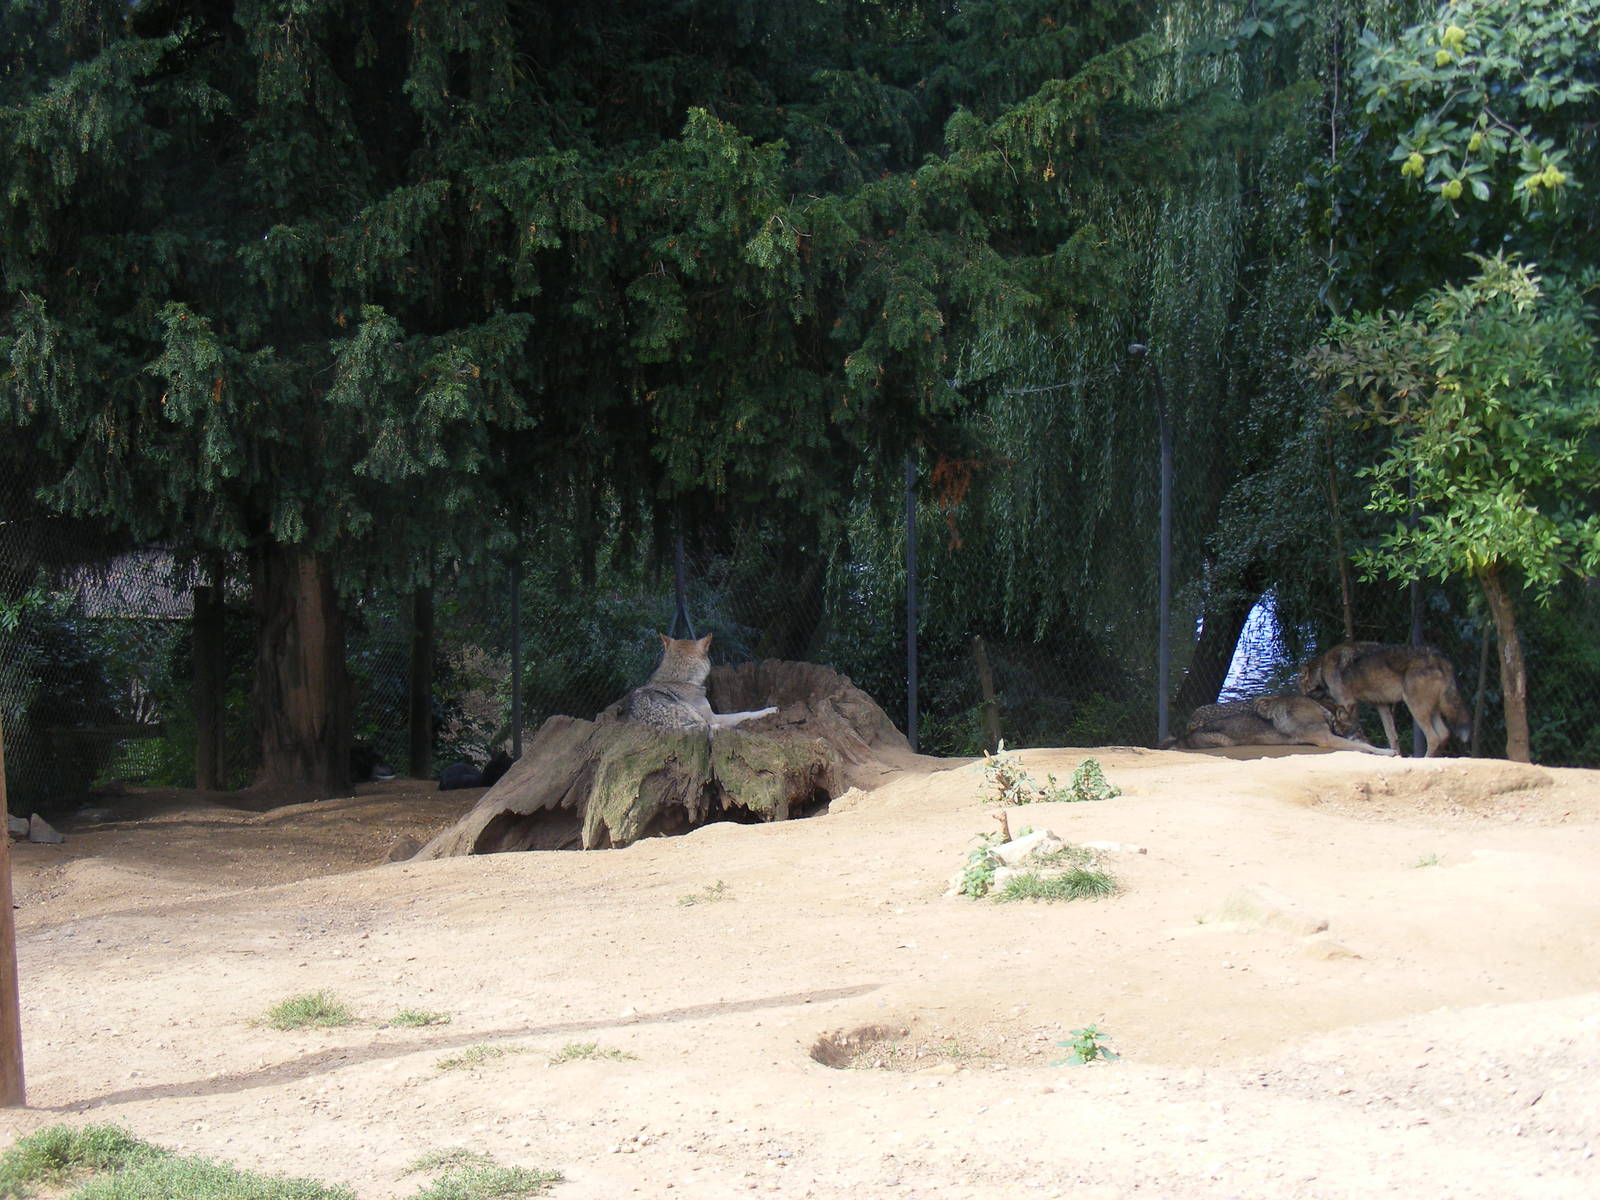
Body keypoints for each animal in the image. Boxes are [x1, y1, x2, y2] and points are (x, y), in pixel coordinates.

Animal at [1162, 694, 1393, 755]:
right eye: (1361, 729)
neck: (1323, 712)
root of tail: (1184, 735)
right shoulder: (1327, 739)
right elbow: (1364, 746)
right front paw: (1387, 751)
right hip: (1224, 742)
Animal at [1297, 641, 1472, 758]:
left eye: (1304, 691)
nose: (1302, 697)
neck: (1321, 670)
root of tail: (1440, 656)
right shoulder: (1381, 705)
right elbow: (1392, 736)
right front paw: (1396, 755)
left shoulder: (1347, 701)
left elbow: (1351, 725)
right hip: (1430, 710)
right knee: (1444, 733)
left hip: (1415, 708)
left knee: (1434, 737)